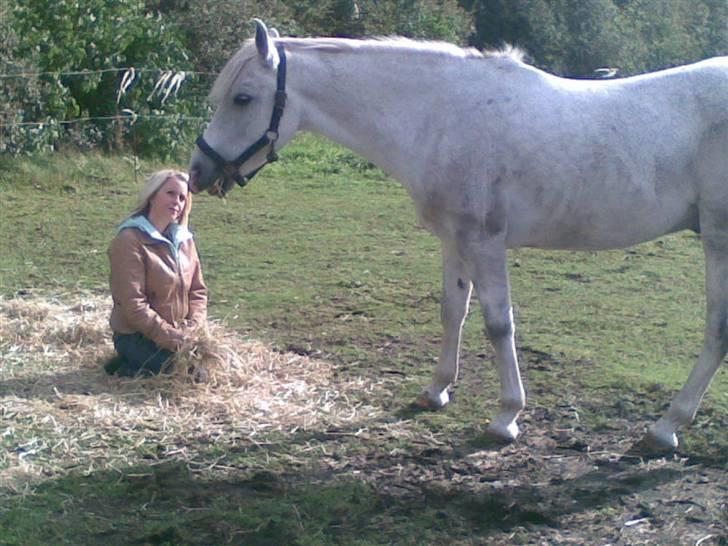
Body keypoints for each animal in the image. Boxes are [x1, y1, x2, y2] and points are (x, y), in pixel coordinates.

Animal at [189, 20, 728, 450]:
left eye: (242, 98)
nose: (197, 173)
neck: (443, 116)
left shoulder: (484, 242)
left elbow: (497, 324)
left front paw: (506, 417)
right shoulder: (454, 239)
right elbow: (454, 311)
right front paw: (436, 391)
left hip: (718, 240)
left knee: (716, 330)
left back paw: (666, 427)